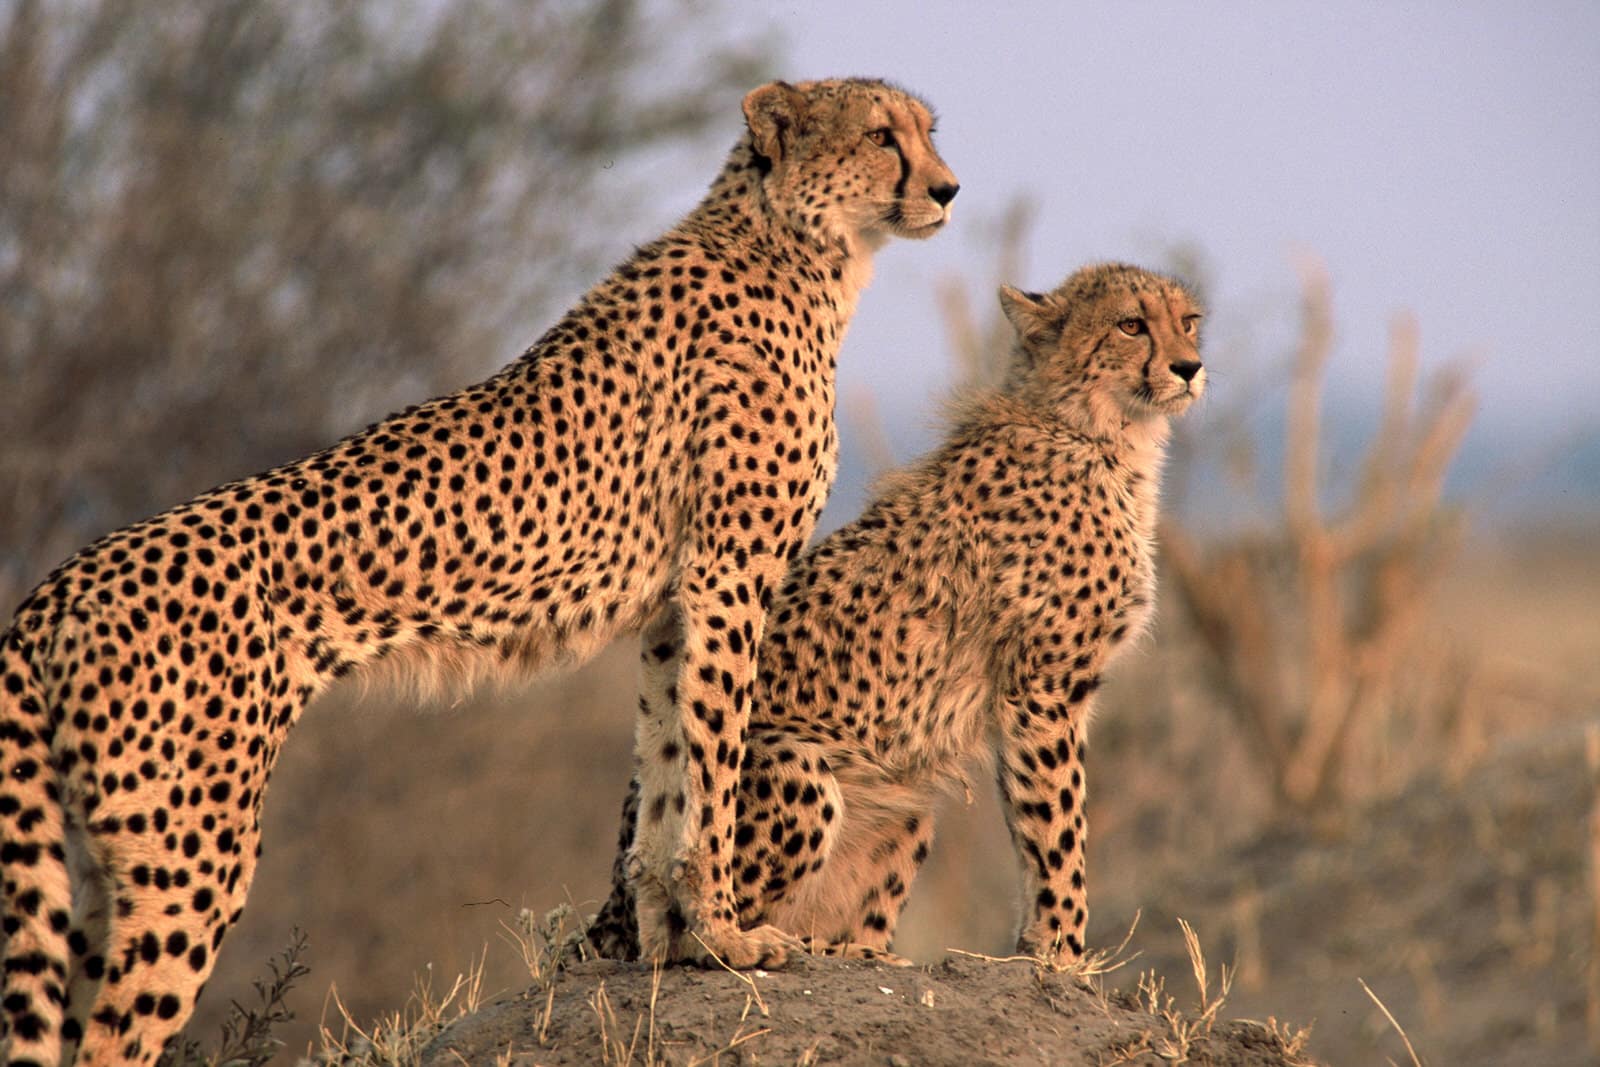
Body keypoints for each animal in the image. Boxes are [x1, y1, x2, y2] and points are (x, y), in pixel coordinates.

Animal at [0, 77, 957, 1066]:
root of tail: (57, 585)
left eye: (927, 133)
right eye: (881, 137)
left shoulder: (671, 608)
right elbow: (715, 760)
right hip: (191, 852)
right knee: (113, 1037)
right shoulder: (731, 574)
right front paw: (725, 933)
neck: (797, 245)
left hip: (97, 858)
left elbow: (666, 767)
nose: (949, 189)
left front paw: (670, 941)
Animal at [588, 262, 1203, 967]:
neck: (1097, 430)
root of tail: (608, 909)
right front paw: (1064, 957)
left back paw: (865, 954)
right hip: (800, 769)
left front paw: (1043, 951)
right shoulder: (1041, 690)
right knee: (691, 934)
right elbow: (1057, 830)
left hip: (903, 808)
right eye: (1131, 324)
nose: (1190, 367)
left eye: (1188, 322)